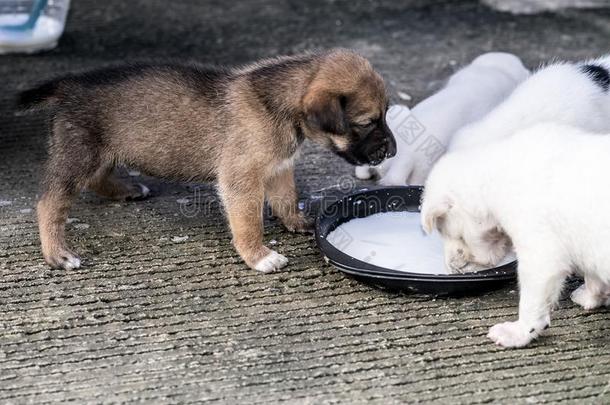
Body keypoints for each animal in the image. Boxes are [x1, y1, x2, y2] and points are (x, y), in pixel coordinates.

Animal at [17, 49, 394, 272]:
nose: (391, 151)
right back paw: (57, 253)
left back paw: (127, 189)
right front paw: (259, 256)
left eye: (386, 115)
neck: (279, 102)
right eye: (367, 122)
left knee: (96, 178)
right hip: (78, 155)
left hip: (100, 151)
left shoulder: (278, 167)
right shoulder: (242, 178)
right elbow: (248, 222)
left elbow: (287, 199)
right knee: (49, 202)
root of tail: (69, 86)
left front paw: (297, 222)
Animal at [422, 123, 610, 348]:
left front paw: (515, 333)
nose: (451, 268)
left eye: (447, 232)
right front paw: (591, 296)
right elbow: (593, 275)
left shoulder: (538, 240)